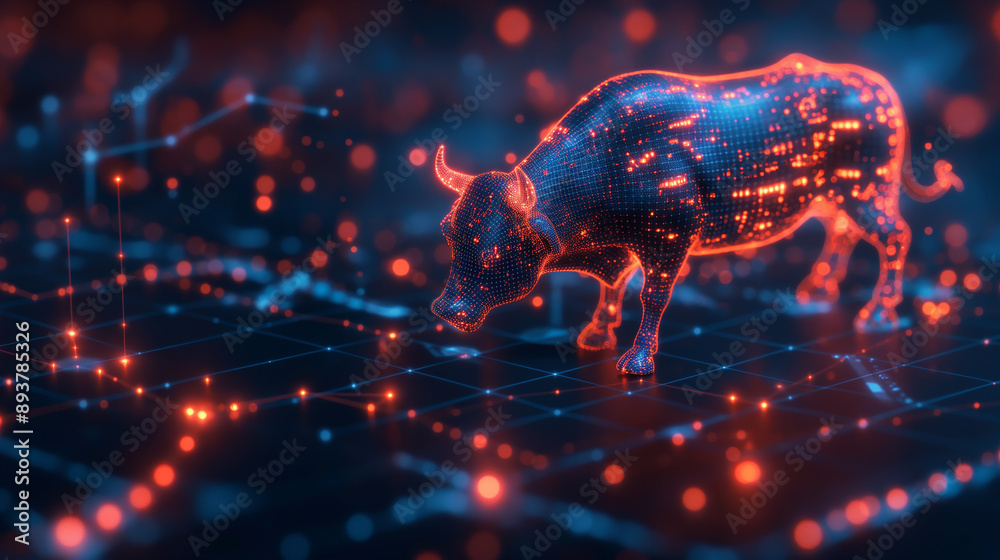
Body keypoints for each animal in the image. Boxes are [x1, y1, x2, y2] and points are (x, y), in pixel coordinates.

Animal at [430, 53, 962, 375]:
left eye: (495, 251)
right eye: (450, 235)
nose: (444, 310)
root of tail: (874, 84)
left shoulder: (670, 239)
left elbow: (652, 297)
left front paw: (637, 359)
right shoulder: (625, 245)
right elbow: (612, 288)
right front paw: (597, 334)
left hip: (867, 192)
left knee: (894, 236)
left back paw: (878, 312)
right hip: (832, 196)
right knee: (843, 233)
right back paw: (817, 288)